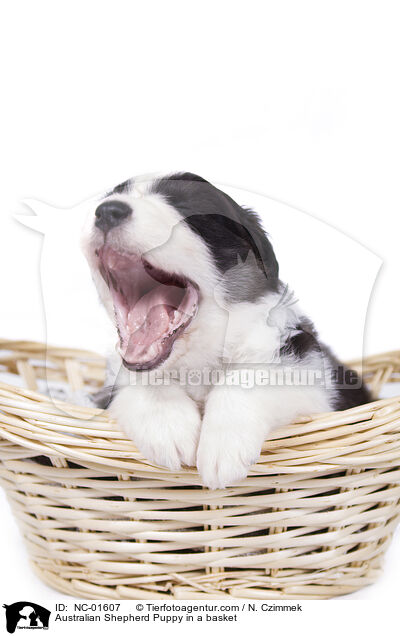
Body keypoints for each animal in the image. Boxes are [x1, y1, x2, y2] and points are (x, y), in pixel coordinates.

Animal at [80, 171, 368, 490]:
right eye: (111, 196)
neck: (198, 362)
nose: (108, 210)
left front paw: (223, 448)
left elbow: (251, 376)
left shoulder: (314, 379)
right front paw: (169, 426)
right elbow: (137, 380)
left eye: (182, 206)